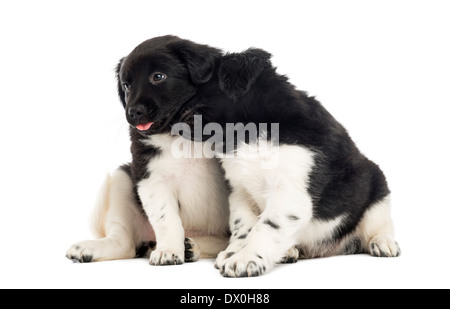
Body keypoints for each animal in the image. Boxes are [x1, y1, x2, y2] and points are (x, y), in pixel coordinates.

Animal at [65, 37, 232, 264]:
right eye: (126, 85)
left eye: (158, 77)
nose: (133, 112)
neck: (179, 134)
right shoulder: (150, 177)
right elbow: (166, 219)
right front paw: (168, 250)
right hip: (121, 177)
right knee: (125, 244)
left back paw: (193, 247)